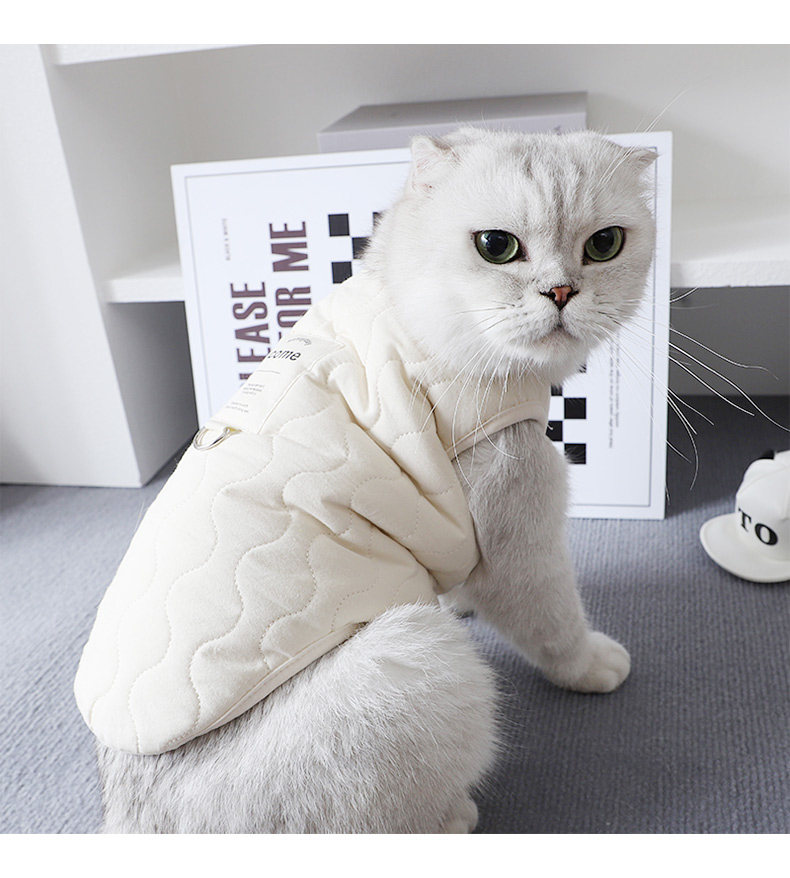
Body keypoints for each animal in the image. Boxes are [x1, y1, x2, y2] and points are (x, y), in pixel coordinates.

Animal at [95, 128, 656, 833]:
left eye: (604, 244)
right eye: (496, 246)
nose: (562, 292)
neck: (417, 327)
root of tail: (126, 822)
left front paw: (456, 597)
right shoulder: (520, 542)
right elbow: (554, 624)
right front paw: (594, 666)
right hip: (418, 660)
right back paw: (456, 815)